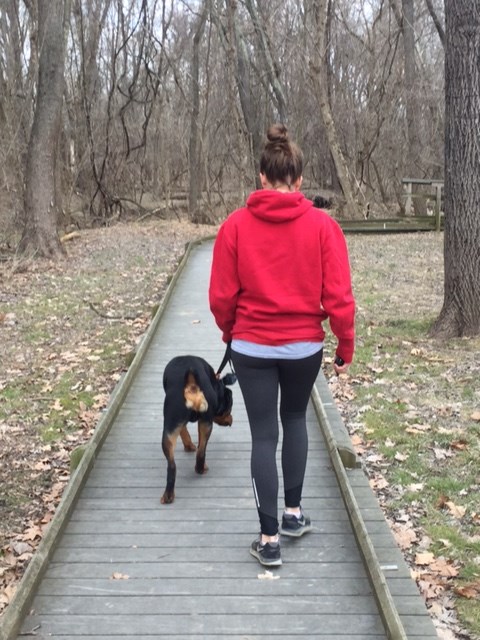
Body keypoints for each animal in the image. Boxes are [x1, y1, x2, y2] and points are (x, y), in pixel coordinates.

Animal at [161, 356, 236, 504]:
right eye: (229, 408)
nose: (231, 419)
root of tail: (192, 388)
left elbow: (184, 432)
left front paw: (189, 445)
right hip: (205, 423)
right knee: (201, 451)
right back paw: (200, 469)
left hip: (170, 427)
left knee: (172, 465)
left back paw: (168, 495)